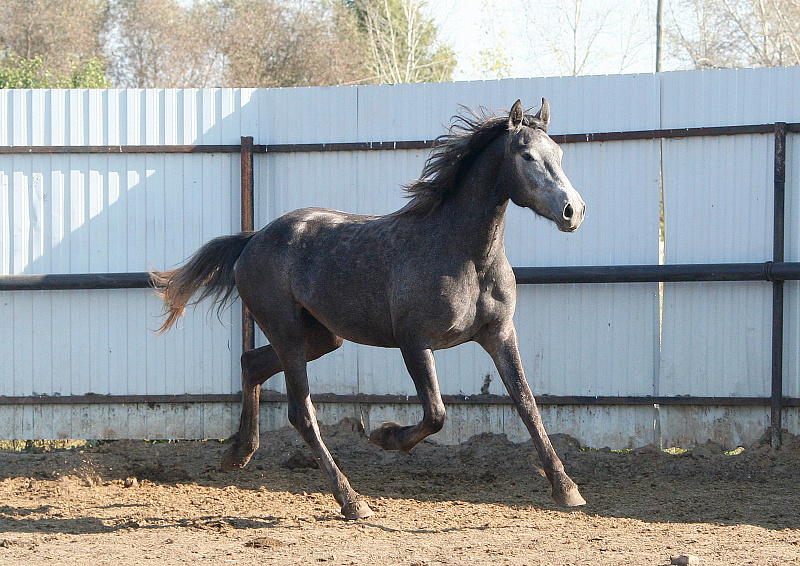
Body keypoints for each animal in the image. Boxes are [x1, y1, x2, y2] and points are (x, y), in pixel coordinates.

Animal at [151, 99, 587, 519]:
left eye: (560, 154)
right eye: (527, 155)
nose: (573, 210)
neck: (465, 254)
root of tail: (253, 240)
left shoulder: (499, 334)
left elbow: (528, 405)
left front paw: (566, 489)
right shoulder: (414, 342)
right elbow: (436, 413)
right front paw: (385, 436)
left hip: (321, 338)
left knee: (251, 363)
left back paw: (238, 454)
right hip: (288, 334)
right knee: (301, 413)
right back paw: (351, 500)